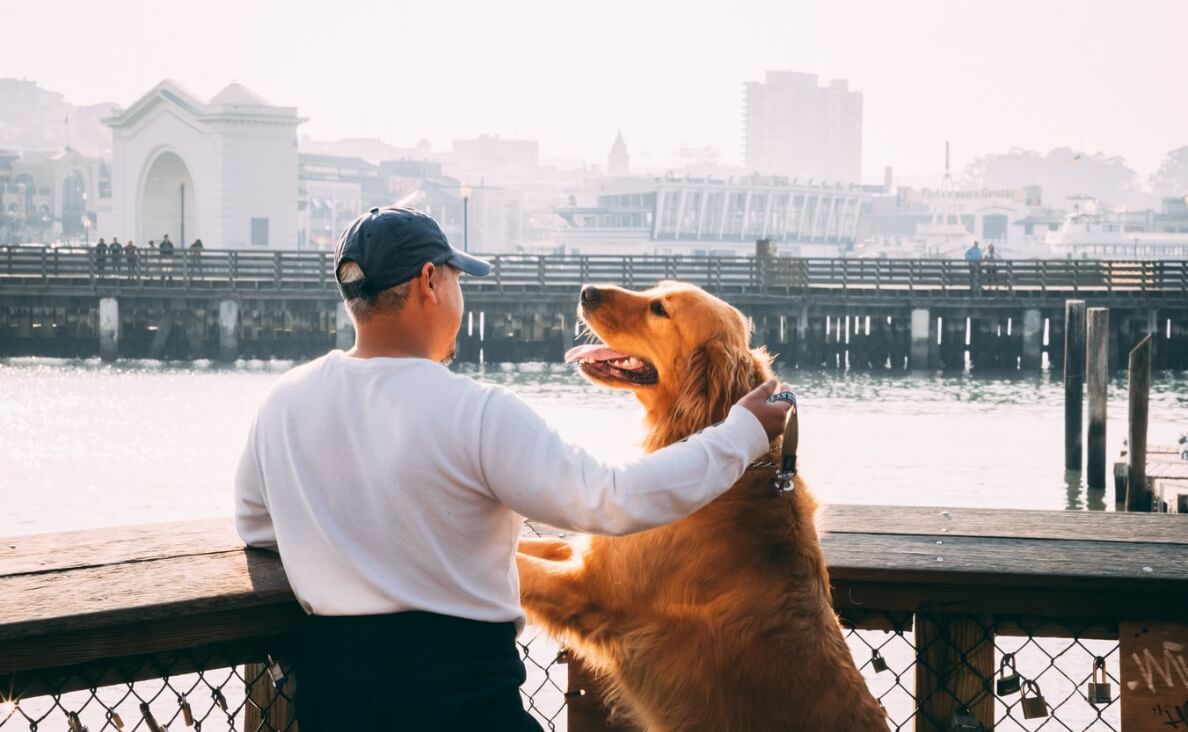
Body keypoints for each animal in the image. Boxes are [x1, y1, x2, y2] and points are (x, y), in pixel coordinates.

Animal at [515, 281, 888, 732]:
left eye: (660, 309)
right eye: (655, 289)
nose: (586, 291)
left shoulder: (588, 589)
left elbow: (520, 568)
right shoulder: (587, 555)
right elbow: (531, 547)